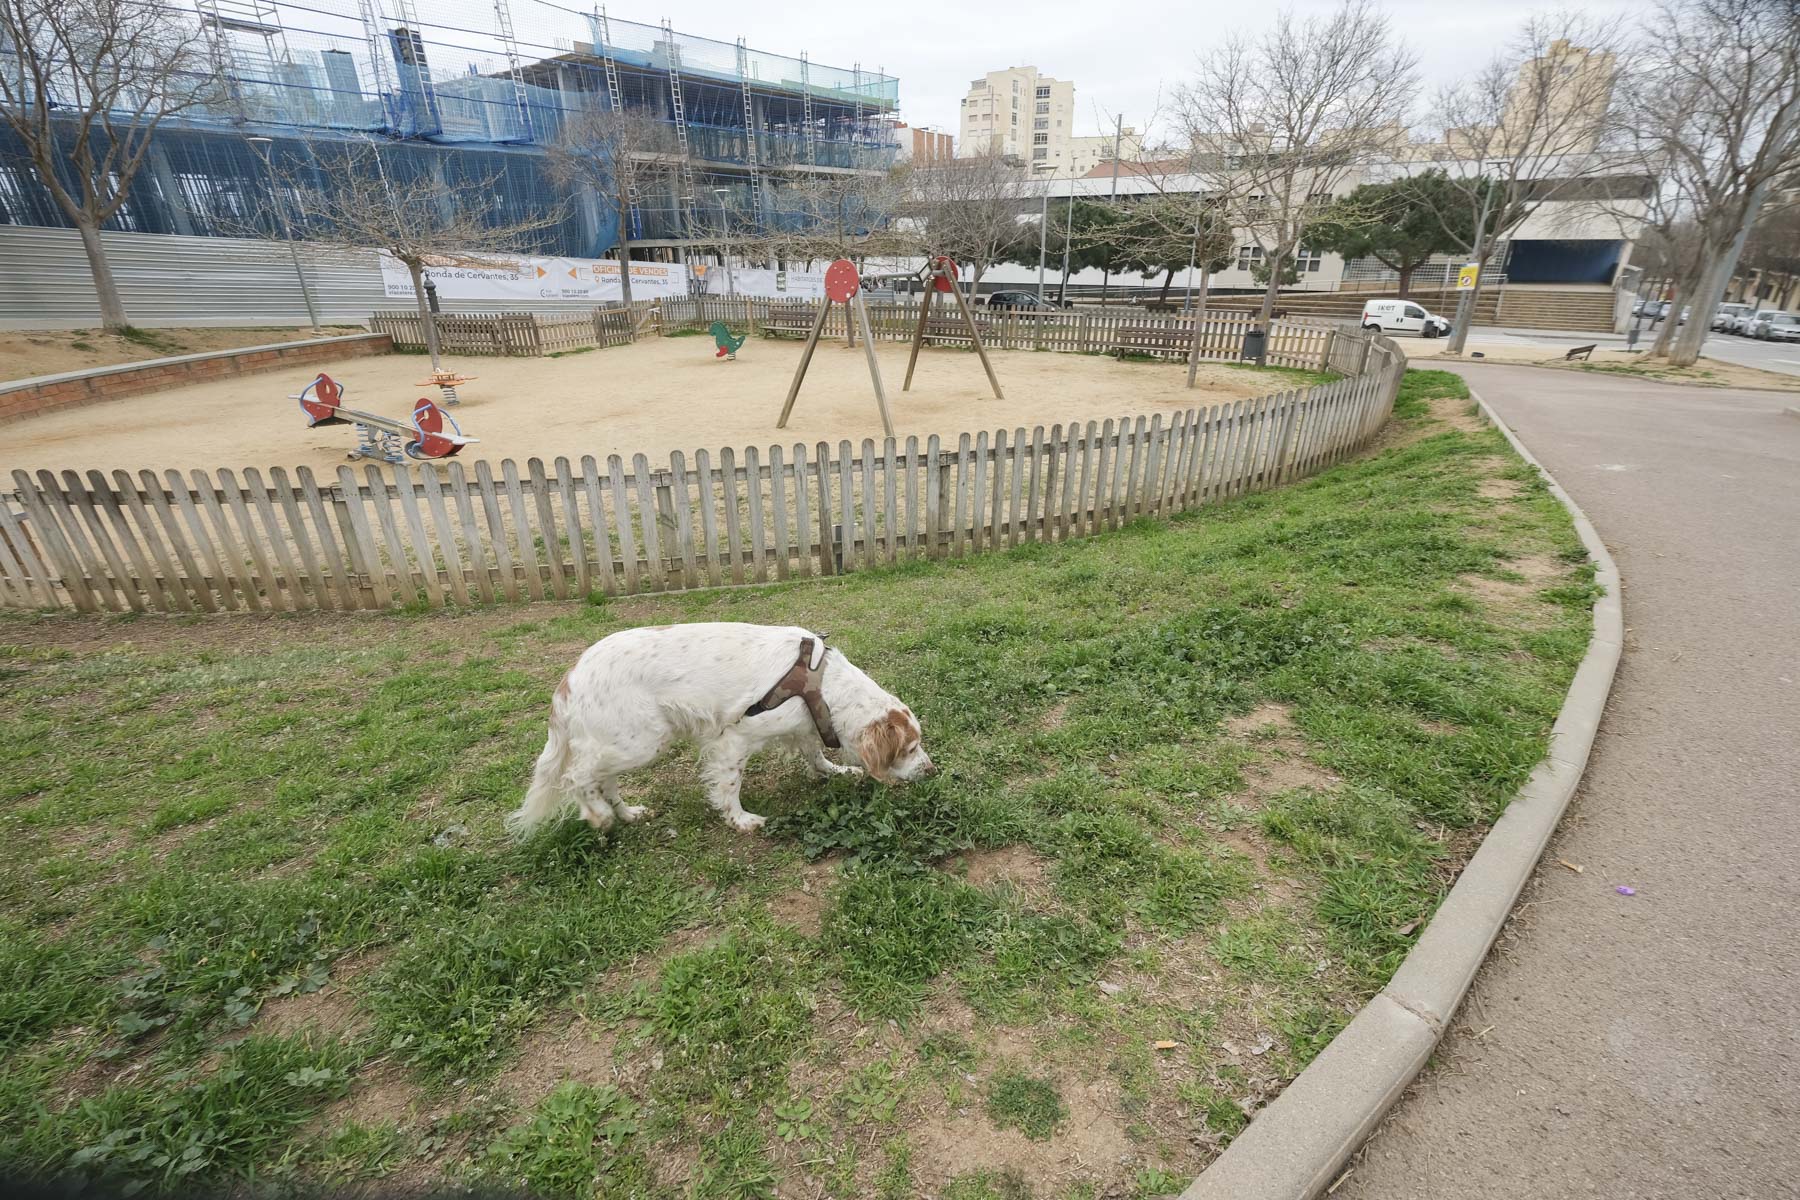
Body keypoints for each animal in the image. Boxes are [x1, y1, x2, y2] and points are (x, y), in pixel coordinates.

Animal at [504, 626, 936, 841]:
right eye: (911, 747)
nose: (932, 772)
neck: (820, 683)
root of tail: (571, 676)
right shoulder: (733, 740)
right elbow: (729, 787)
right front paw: (740, 820)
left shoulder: (802, 727)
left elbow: (815, 754)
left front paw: (835, 771)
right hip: (641, 741)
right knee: (578, 775)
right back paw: (598, 815)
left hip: (628, 742)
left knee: (602, 778)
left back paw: (627, 813)